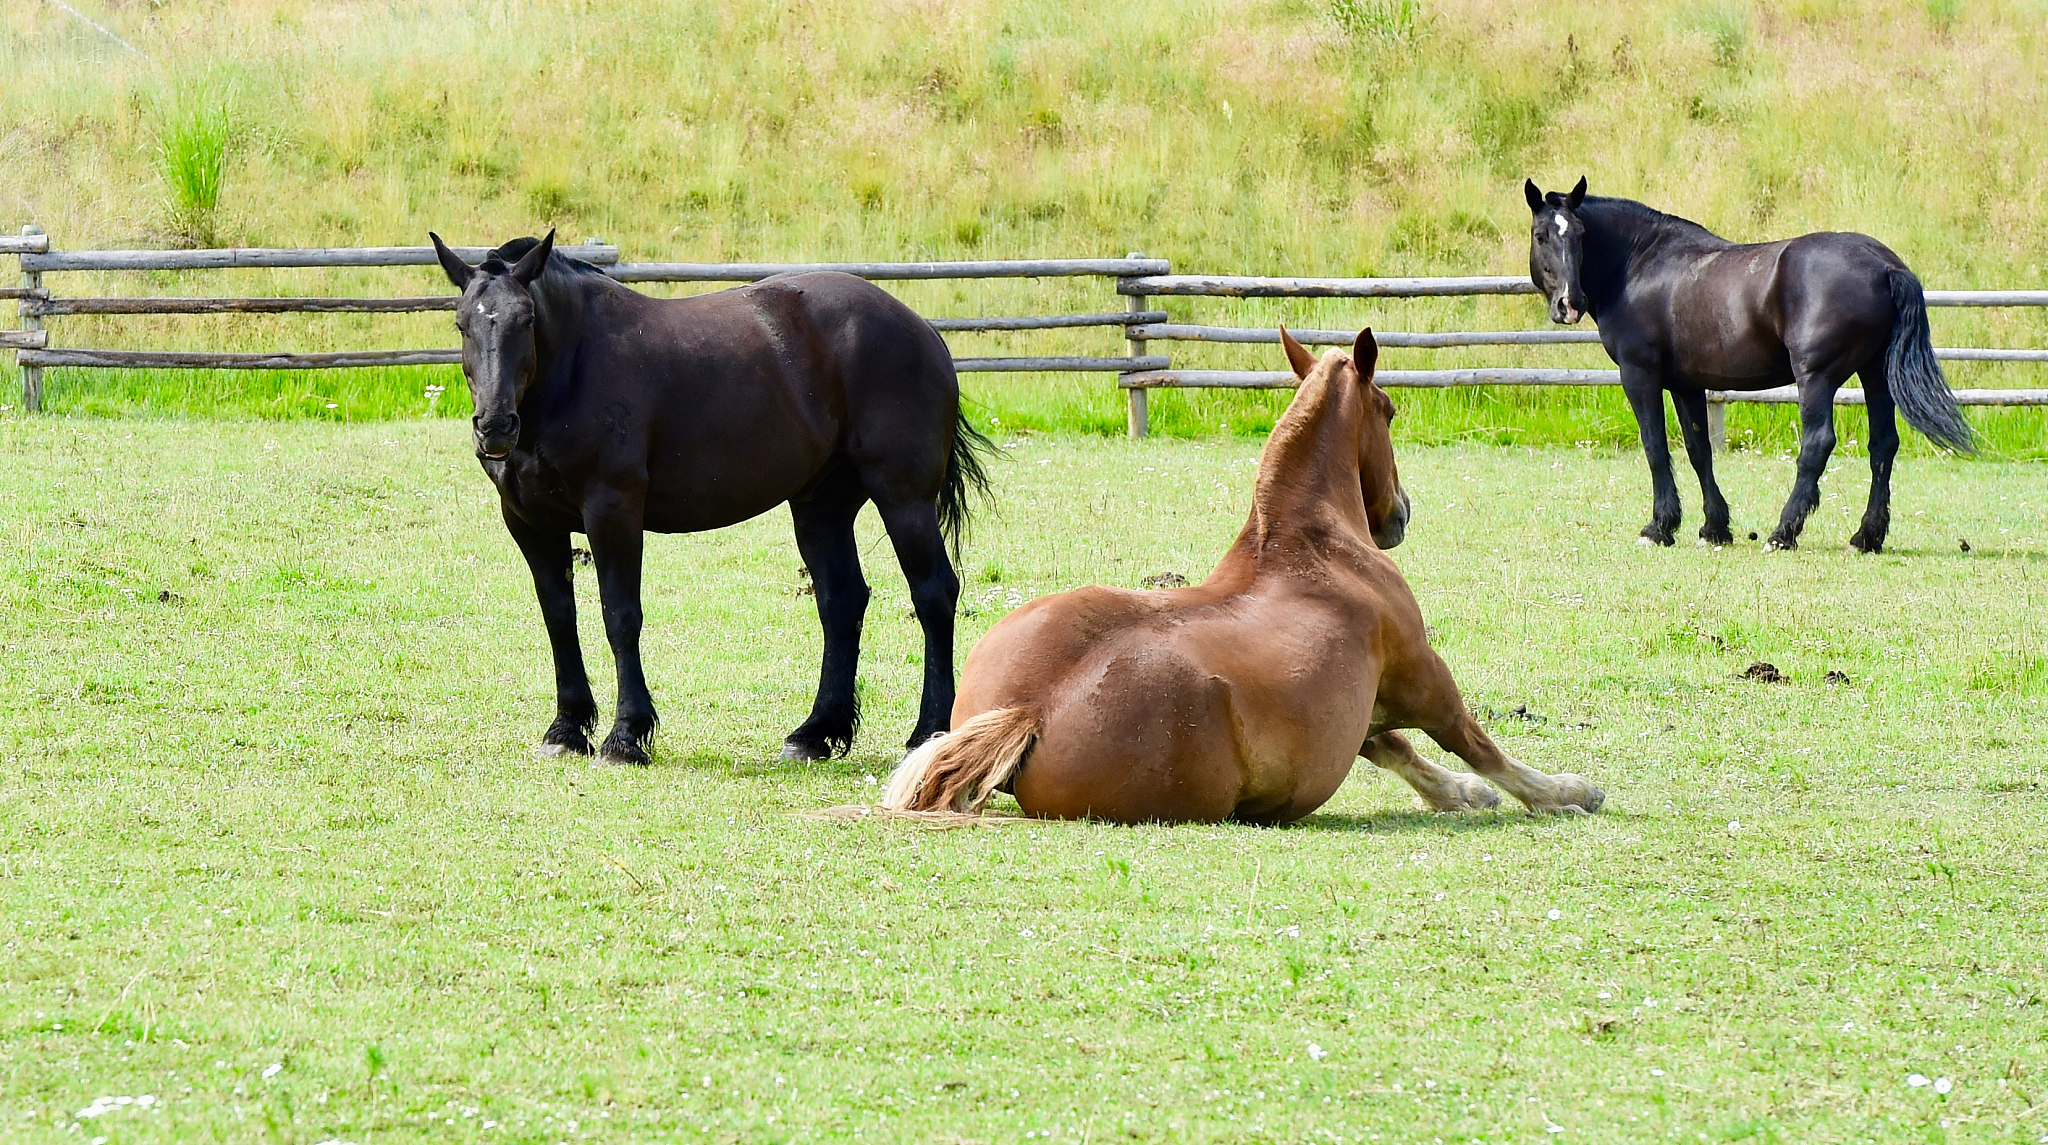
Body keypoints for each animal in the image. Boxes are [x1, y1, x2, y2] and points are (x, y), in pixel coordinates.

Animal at [430, 231, 992, 765]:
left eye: (526, 320)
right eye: (461, 323)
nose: (495, 426)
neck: (573, 370)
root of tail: (922, 330)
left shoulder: (613, 511)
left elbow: (620, 616)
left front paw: (626, 736)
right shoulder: (530, 523)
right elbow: (558, 619)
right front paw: (567, 730)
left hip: (904, 499)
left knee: (933, 594)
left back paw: (926, 733)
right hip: (821, 509)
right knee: (842, 602)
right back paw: (814, 734)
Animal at [878, 328, 1606, 824]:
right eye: (1390, 410)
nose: (1399, 513)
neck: (1306, 543)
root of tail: (1030, 709)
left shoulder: (1361, 708)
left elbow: (1392, 746)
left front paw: (1463, 793)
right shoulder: (1420, 671)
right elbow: (1473, 740)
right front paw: (1562, 791)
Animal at [1524, 177, 1973, 552]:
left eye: (1580, 235)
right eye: (1541, 235)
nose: (1569, 303)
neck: (1639, 264)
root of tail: (1885, 266)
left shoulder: (1639, 375)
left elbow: (1655, 447)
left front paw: (1659, 528)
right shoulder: (1686, 383)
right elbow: (1698, 450)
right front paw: (1714, 528)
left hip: (1816, 377)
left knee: (1818, 443)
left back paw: (1783, 533)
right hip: (1876, 375)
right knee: (1882, 445)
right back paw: (1866, 537)